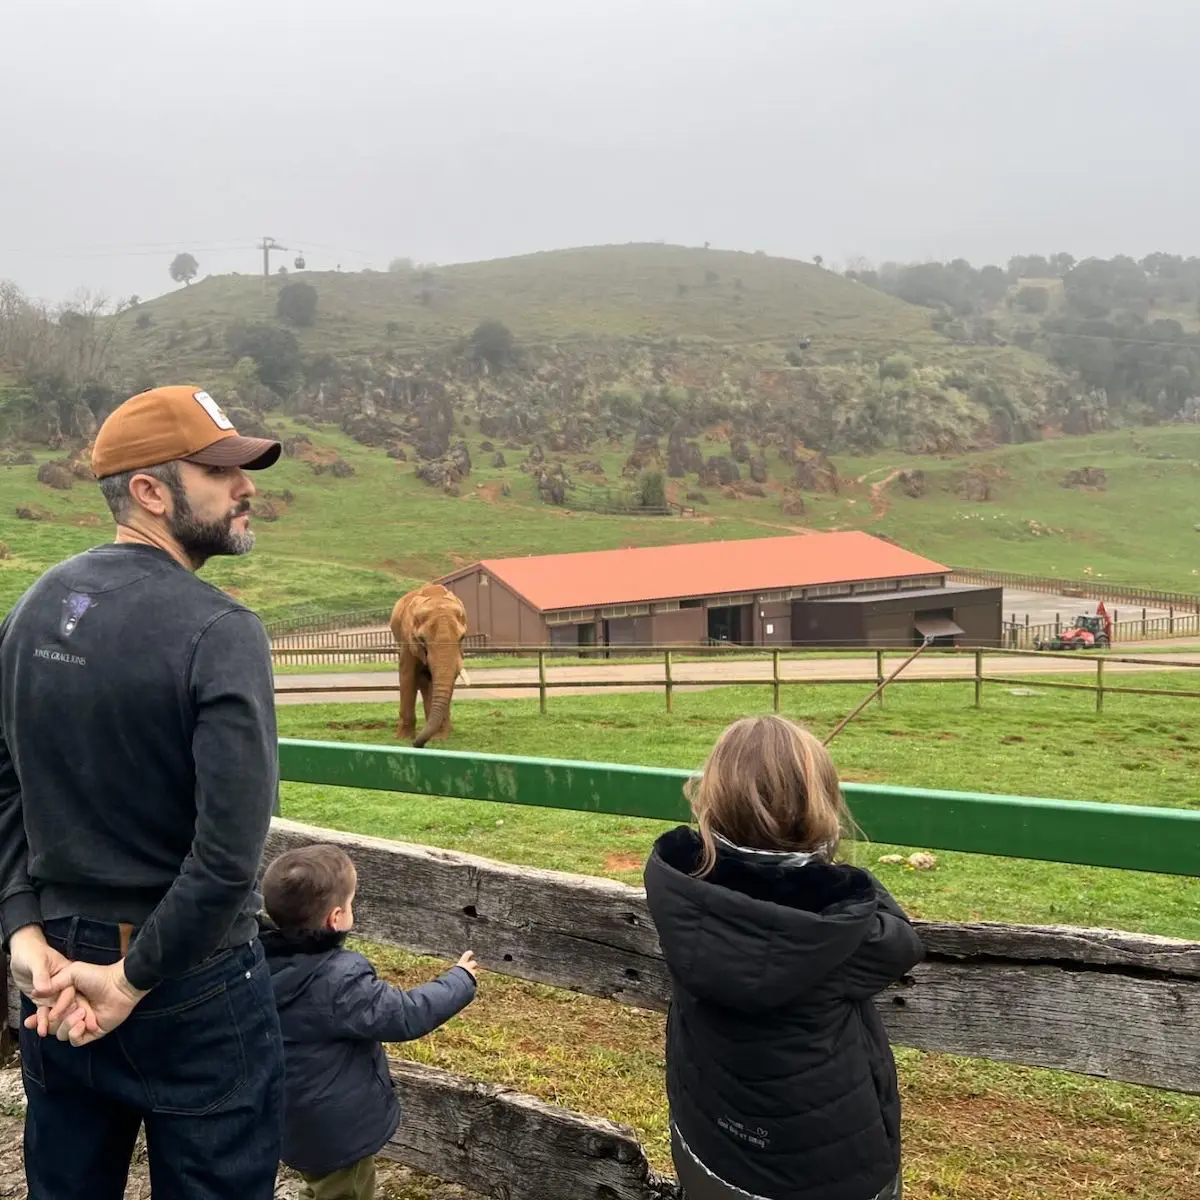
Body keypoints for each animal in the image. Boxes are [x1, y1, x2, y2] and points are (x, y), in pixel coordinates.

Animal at [391, 583, 470, 744]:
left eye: (462, 637)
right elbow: (408, 675)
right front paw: (403, 739)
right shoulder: (407, 639)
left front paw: (440, 738)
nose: (416, 745)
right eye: (422, 639)